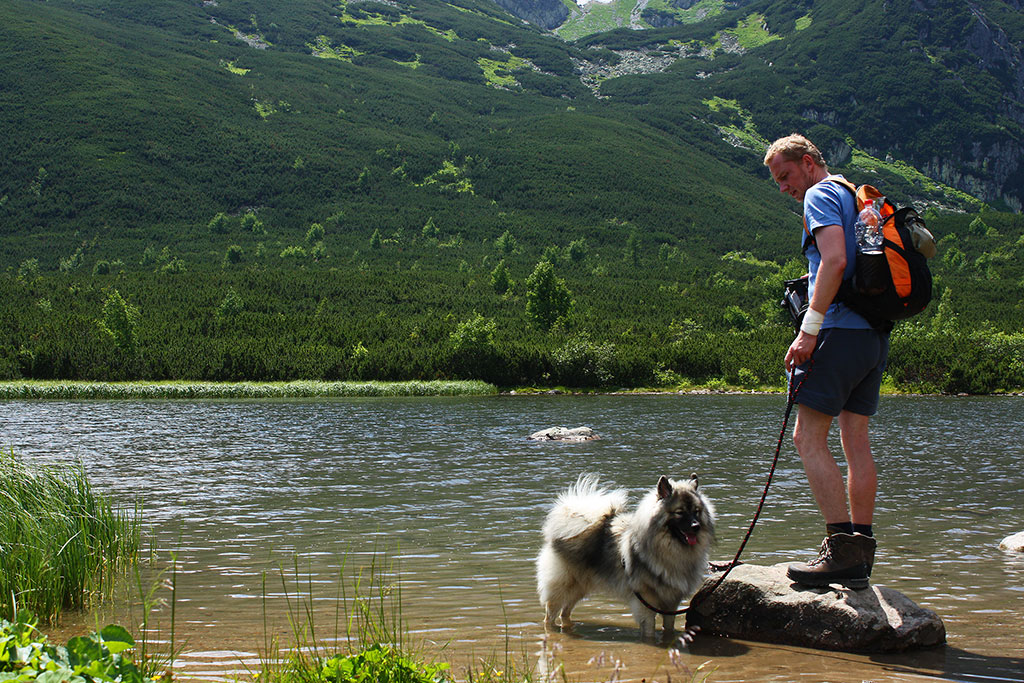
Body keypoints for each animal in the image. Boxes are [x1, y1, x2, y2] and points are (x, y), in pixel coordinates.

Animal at [536, 473, 712, 638]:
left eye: (696, 511)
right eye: (679, 513)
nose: (696, 526)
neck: (670, 550)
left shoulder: (671, 603)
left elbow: (668, 628)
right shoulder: (646, 602)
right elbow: (649, 631)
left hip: (579, 587)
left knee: (565, 612)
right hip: (563, 586)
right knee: (550, 615)